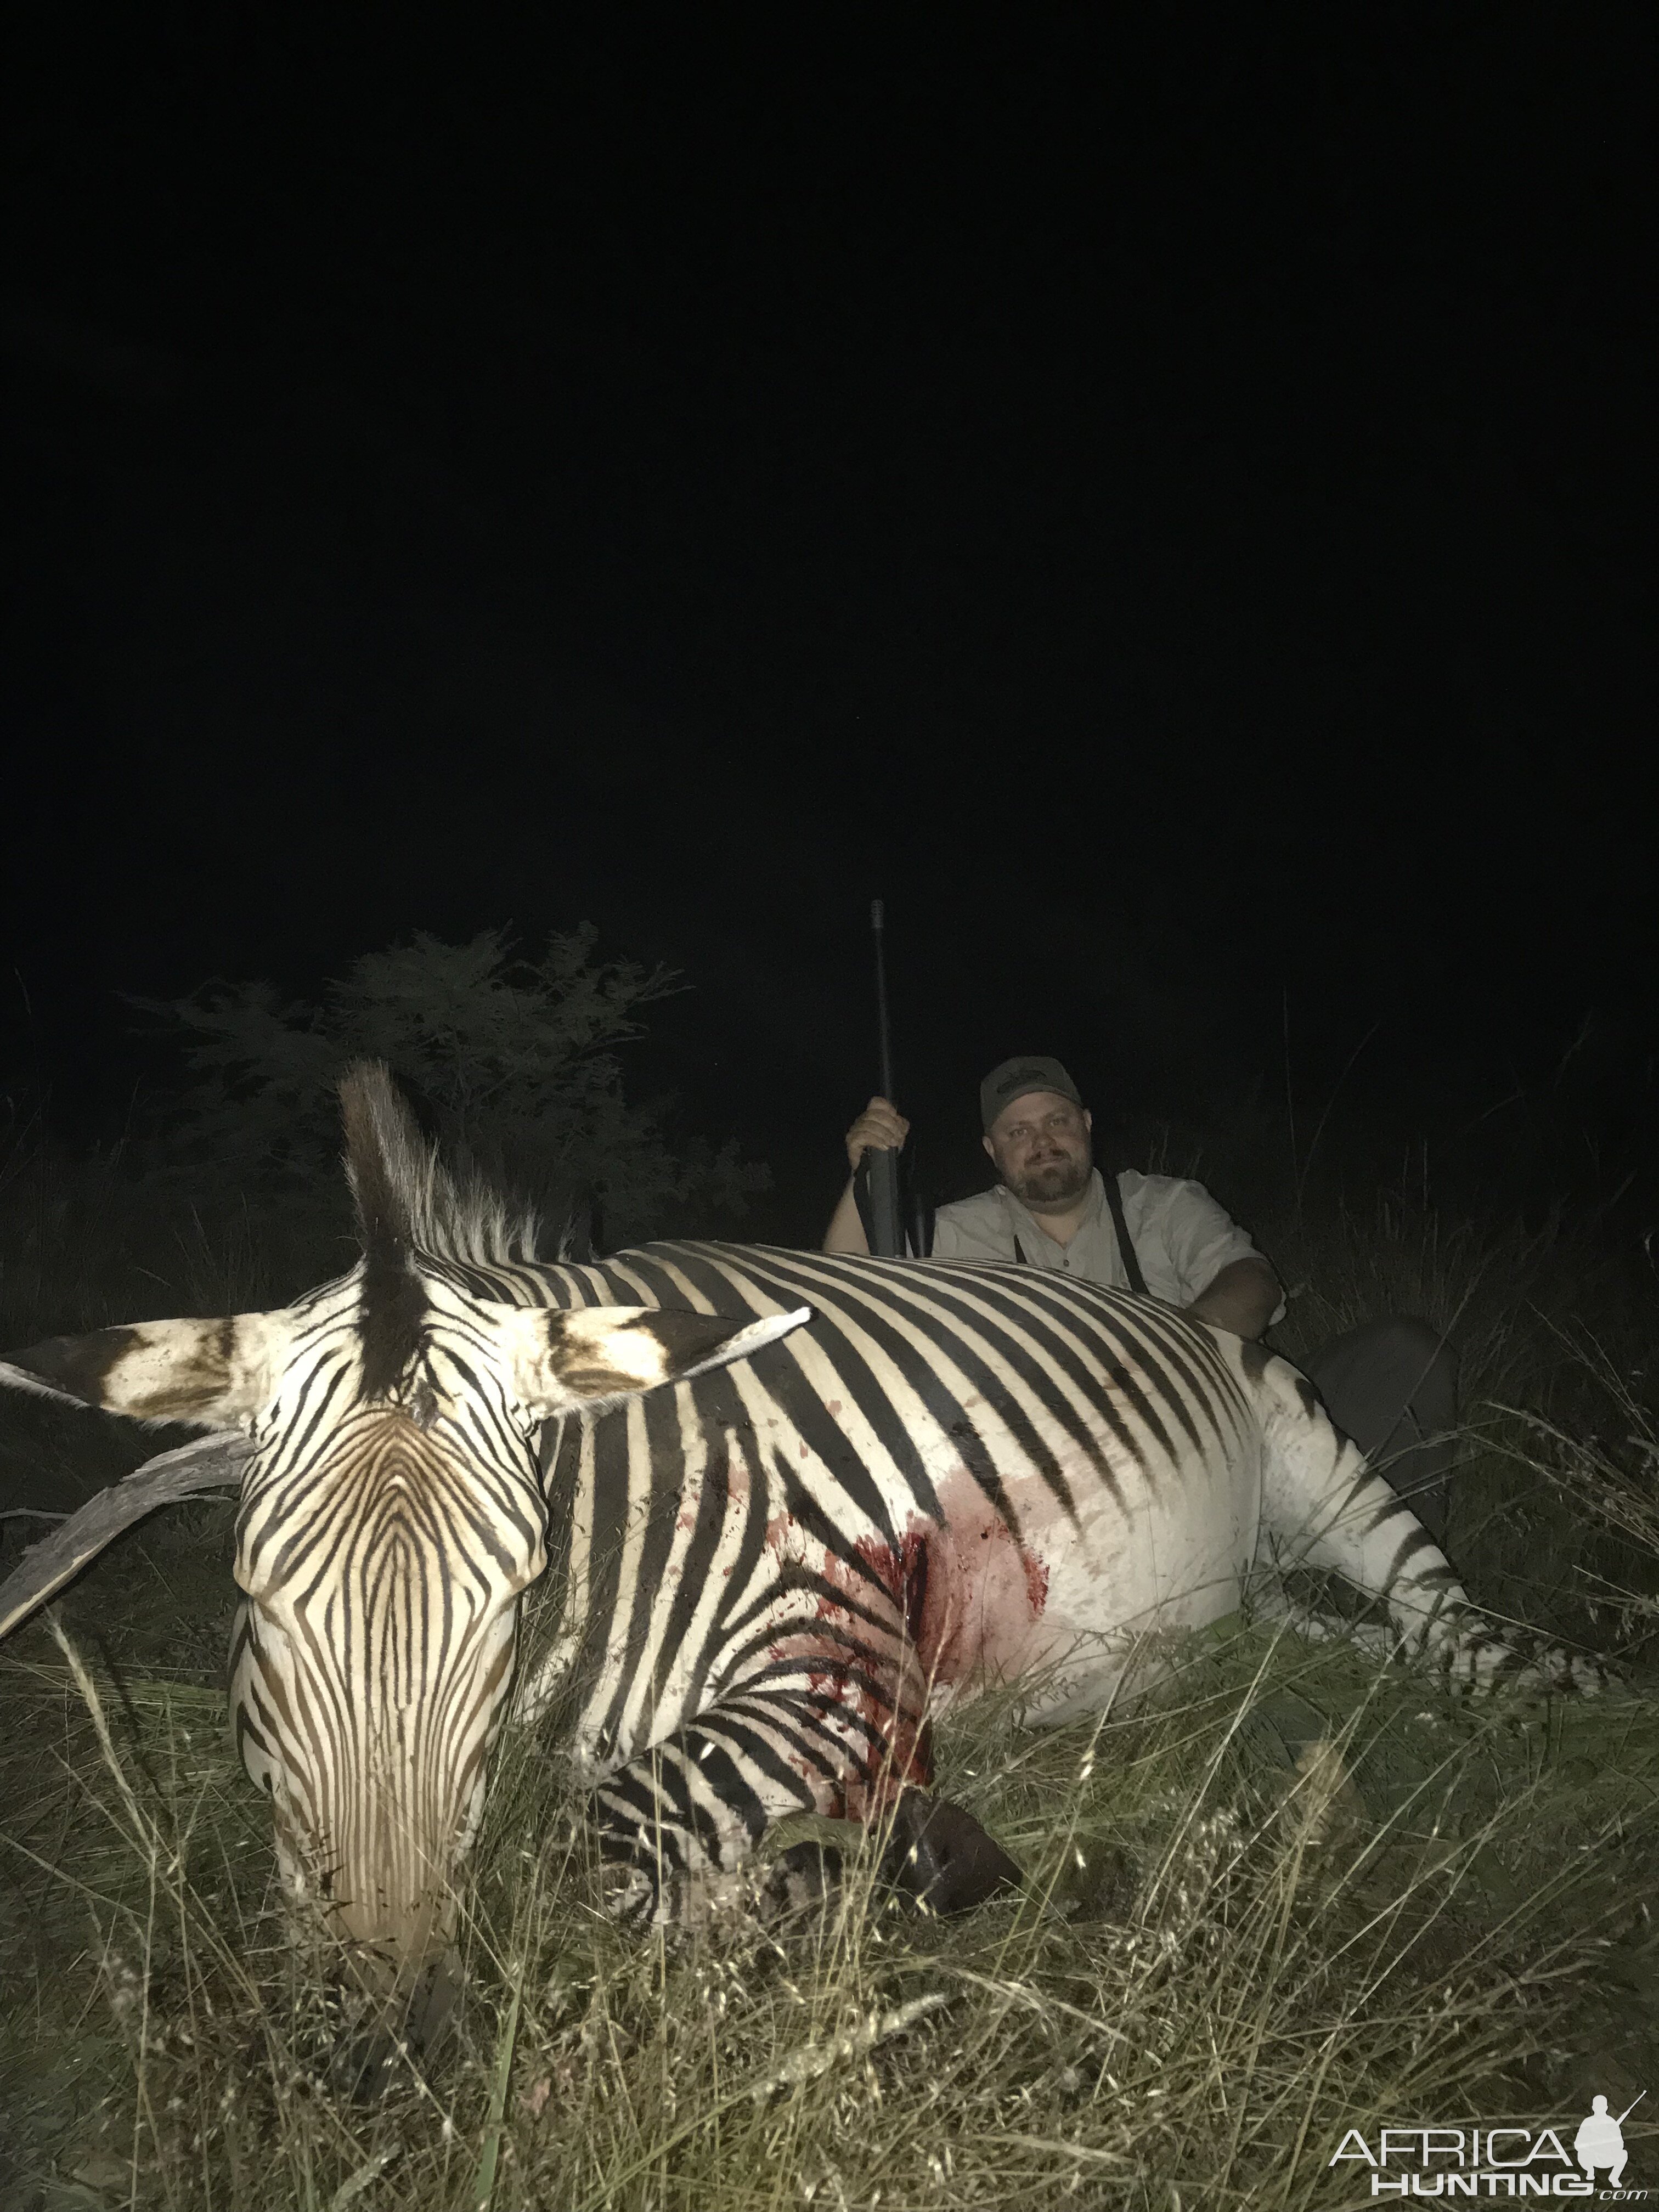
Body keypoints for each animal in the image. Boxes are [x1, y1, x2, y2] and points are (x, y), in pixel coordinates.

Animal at [0, 1062, 1601, 2079]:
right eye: (258, 1605)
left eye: (513, 1597)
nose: (393, 2047)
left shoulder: (846, 1666)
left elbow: (600, 1851)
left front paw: (799, 1918)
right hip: (1242, 1605)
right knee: (1331, 1652)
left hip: (1327, 1473)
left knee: (1449, 1629)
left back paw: (1571, 1705)